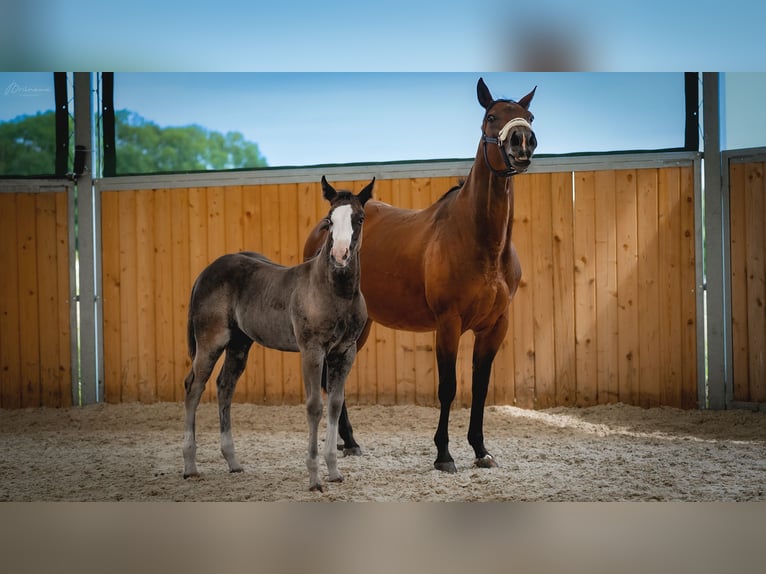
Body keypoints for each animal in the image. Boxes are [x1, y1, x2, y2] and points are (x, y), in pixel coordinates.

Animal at [183, 178, 376, 492]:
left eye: (359, 218)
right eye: (329, 220)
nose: (340, 256)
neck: (335, 292)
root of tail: (205, 272)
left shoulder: (345, 353)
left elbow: (335, 405)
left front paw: (334, 471)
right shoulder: (312, 351)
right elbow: (314, 406)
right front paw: (314, 479)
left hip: (239, 344)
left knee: (225, 386)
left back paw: (233, 462)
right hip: (210, 341)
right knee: (194, 387)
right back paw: (190, 466)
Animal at [304, 77, 536, 472]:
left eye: (529, 116)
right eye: (491, 116)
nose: (522, 141)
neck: (481, 241)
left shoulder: (495, 325)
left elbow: (480, 387)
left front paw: (481, 450)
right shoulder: (448, 322)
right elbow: (448, 387)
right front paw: (444, 455)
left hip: (362, 325)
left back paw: (350, 441)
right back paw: (345, 442)